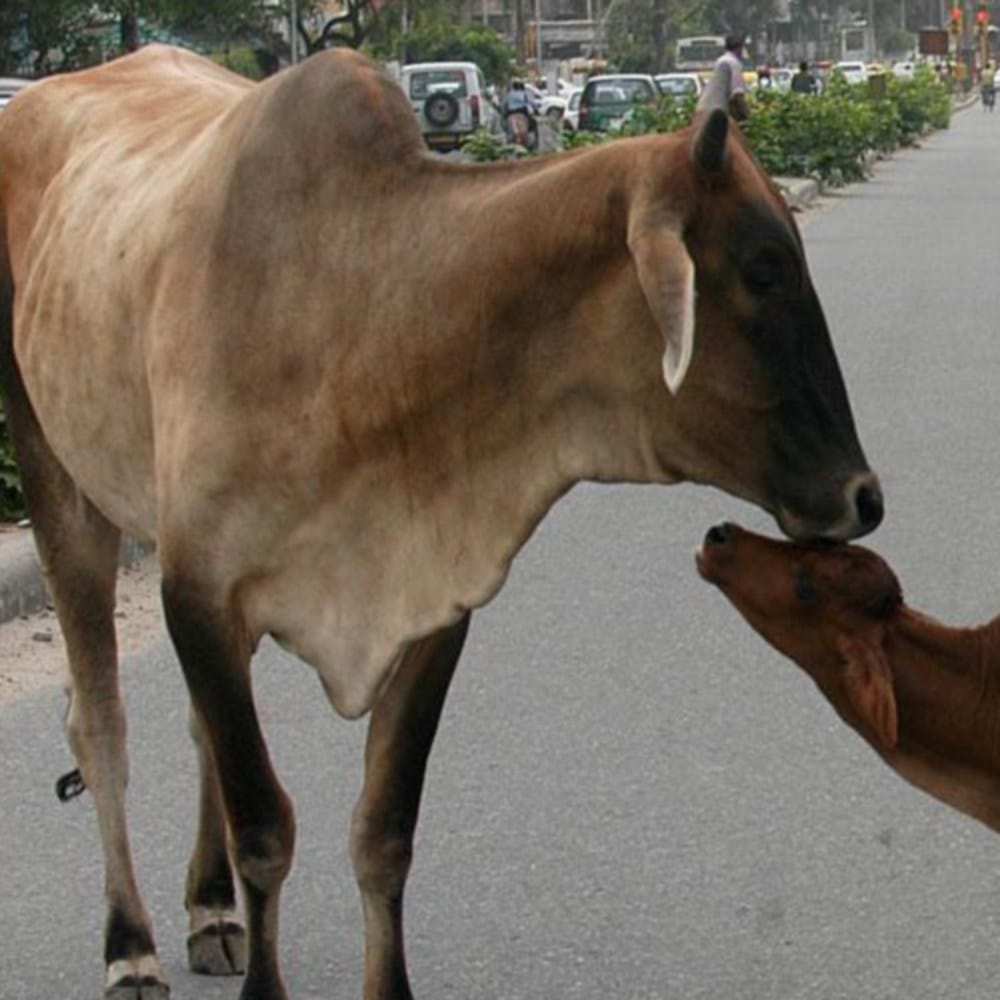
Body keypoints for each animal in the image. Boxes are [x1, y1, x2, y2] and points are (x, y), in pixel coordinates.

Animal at [0, 44, 882, 1000]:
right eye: (762, 269)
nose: (863, 496)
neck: (364, 316)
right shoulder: (198, 588)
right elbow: (264, 828)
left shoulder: (429, 600)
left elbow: (383, 832)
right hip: (58, 481)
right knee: (100, 727)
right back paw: (131, 946)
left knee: (197, 733)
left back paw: (209, 911)